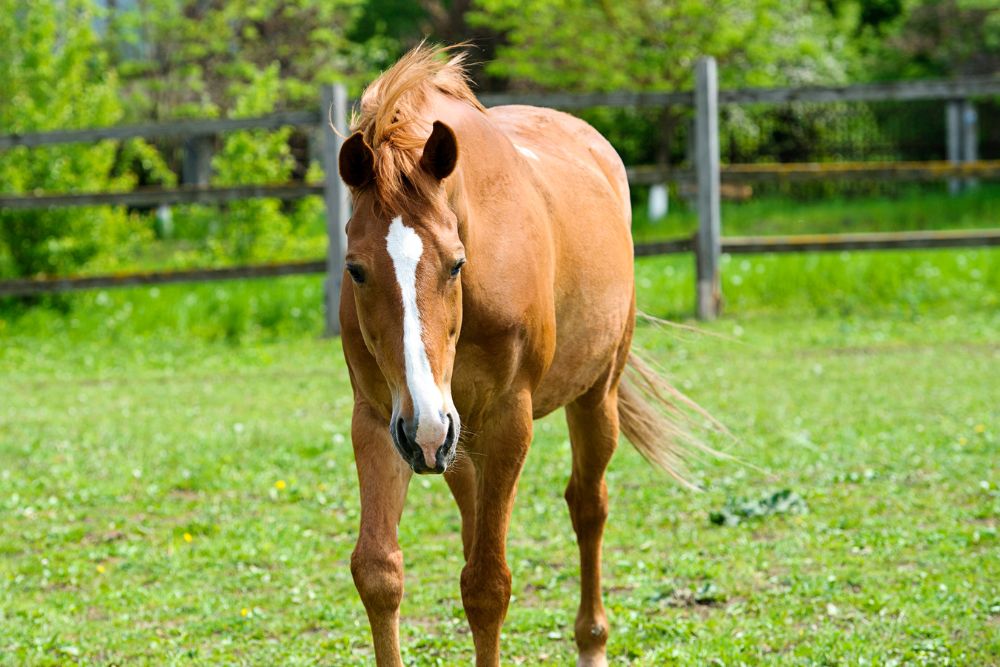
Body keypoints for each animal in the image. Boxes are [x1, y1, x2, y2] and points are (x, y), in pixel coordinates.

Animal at [338, 44, 693, 667]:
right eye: (356, 269)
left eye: (456, 262)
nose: (426, 427)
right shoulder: (382, 419)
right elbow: (379, 572)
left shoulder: (508, 419)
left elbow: (487, 586)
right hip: (453, 439)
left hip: (590, 399)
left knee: (588, 507)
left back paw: (592, 641)